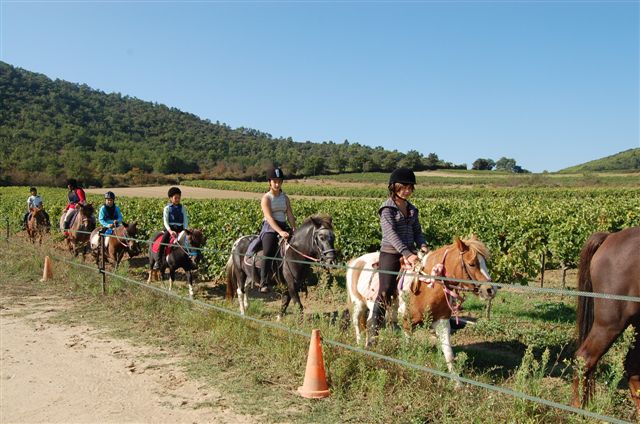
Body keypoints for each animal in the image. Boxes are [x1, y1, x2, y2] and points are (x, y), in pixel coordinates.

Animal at [348, 237, 498, 382]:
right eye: (472, 263)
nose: (491, 290)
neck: (426, 286)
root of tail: (356, 260)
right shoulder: (407, 323)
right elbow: (407, 348)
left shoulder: (442, 322)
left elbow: (449, 354)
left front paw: (457, 384)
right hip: (359, 304)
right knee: (359, 324)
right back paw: (361, 346)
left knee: (369, 323)